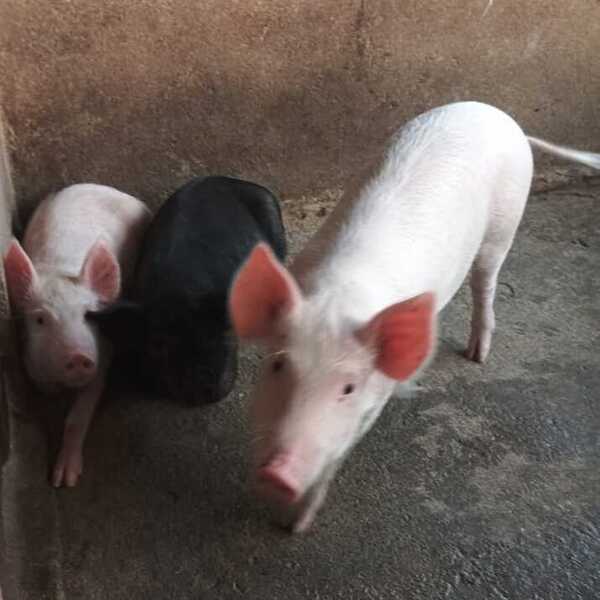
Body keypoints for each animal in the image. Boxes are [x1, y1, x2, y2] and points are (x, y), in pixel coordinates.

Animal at [3, 184, 151, 487]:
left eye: (90, 315)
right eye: (40, 319)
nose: (78, 356)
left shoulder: (103, 355)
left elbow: (78, 416)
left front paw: (66, 481)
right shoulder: (31, 365)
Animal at [229, 101, 600, 532]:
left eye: (348, 388)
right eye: (277, 365)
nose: (277, 474)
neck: (339, 298)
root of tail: (500, 116)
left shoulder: (376, 397)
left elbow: (339, 453)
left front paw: (298, 526)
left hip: (503, 226)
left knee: (486, 282)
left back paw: (477, 354)